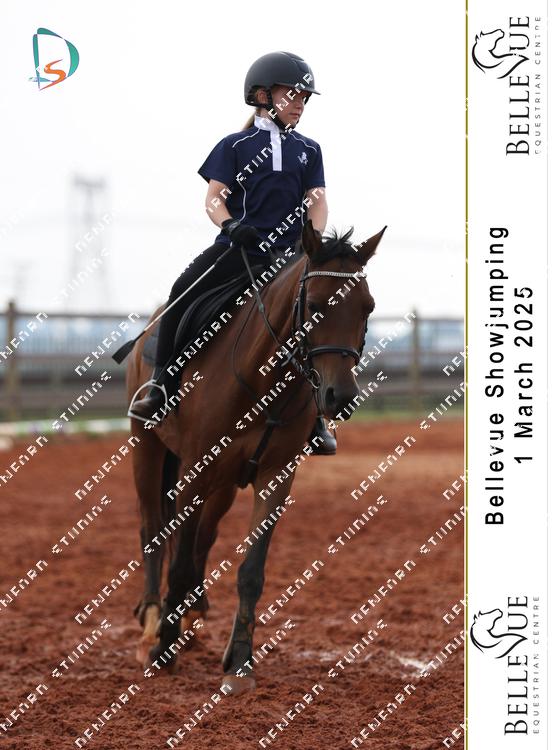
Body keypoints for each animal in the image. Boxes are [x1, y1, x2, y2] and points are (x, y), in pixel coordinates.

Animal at [126, 220, 386, 694]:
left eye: (367, 307)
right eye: (314, 305)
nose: (340, 397)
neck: (262, 383)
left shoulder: (275, 475)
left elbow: (250, 571)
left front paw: (240, 663)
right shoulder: (195, 471)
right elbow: (177, 558)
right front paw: (163, 649)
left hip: (223, 485)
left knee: (202, 538)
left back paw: (191, 617)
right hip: (148, 447)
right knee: (153, 528)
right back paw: (154, 623)